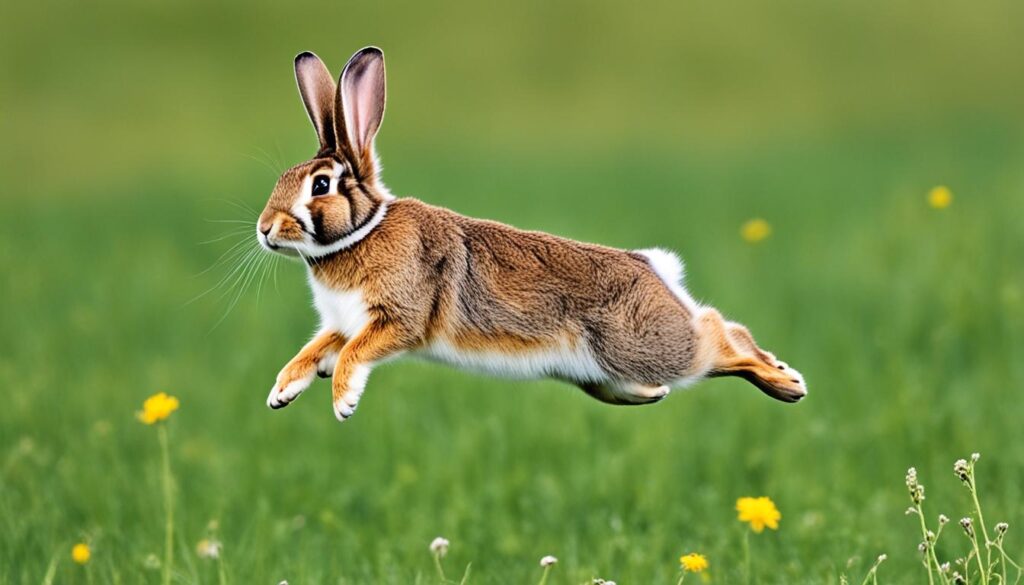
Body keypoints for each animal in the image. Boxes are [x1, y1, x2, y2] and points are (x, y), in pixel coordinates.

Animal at [257, 47, 807, 422]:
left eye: (321, 185)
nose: (265, 229)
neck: (360, 232)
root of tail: (653, 268)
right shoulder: (342, 323)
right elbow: (315, 350)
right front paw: (281, 391)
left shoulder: (397, 317)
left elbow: (354, 353)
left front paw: (343, 401)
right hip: (607, 378)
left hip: (645, 347)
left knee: (719, 336)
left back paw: (786, 382)